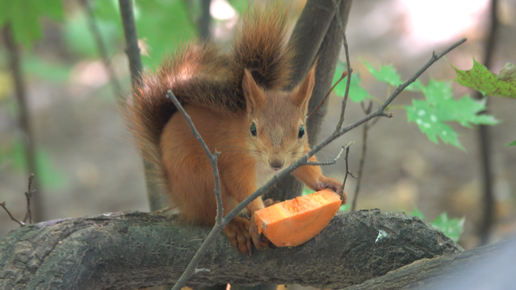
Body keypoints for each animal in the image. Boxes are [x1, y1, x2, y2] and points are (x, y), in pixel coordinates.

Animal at [124, 2, 346, 256]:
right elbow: (242, 188)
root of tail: (177, 196)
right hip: (202, 181)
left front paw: (326, 182)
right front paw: (258, 215)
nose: (276, 163)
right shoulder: (235, 162)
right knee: (211, 216)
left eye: (301, 131)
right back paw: (237, 224)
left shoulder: (298, 153)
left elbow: (306, 168)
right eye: (253, 129)